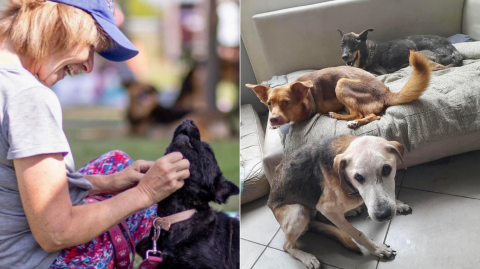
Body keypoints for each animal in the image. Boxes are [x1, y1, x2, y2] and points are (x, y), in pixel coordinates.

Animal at [248, 51, 432, 130]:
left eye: (286, 103)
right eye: (269, 104)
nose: (272, 119)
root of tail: (386, 91)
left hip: (341, 83)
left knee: (364, 115)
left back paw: (345, 119)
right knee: (368, 115)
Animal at [270, 136, 412, 268]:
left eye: (386, 169)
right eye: (358, 177)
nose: (383, 215)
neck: (346, 181)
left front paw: (398, 204)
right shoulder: (325, 208)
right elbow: (357, 233)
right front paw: (376, 248)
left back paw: (351, 211)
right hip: (299, 211)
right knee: (287, 246)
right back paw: (306, 257)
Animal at [336, 28, 464, 74]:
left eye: (354, 44)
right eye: (342, 45)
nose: (344, 57)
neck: (366, 53)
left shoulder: (382, 72)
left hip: (417, 55)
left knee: (437, 67)